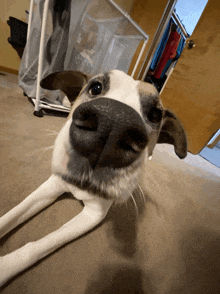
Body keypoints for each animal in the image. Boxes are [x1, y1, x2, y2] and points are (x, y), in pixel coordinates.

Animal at [0, 69, 187, 284]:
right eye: (95, 87)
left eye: (155, 114)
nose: (113, 124)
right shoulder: (51, 186)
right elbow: (12, 215)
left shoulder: (93, 214)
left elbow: (42, 244)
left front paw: (5, 266)